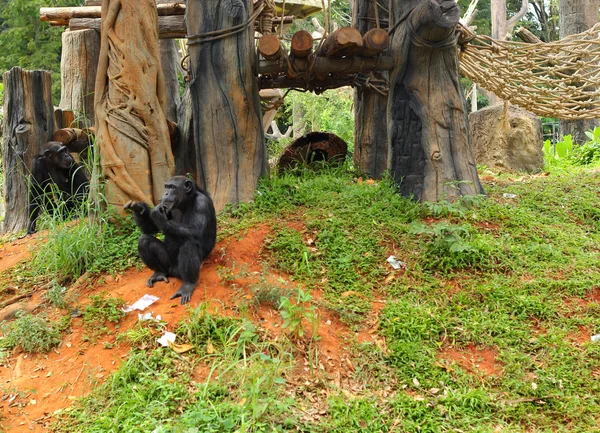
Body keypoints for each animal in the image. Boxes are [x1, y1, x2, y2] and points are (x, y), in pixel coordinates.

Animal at [123, 176, 217, 304]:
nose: (166, 193)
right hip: (167, 265)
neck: (185, 203)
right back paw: (159, 273)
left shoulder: (202, 204)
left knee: (189, 245)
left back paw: (188, 285)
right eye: (166, 187)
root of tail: (173, 272)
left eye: (172, 187)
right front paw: (139, 208)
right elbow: (150, 229)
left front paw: (158, 217)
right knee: (144, 241)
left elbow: (197, 231)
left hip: (182, 270)